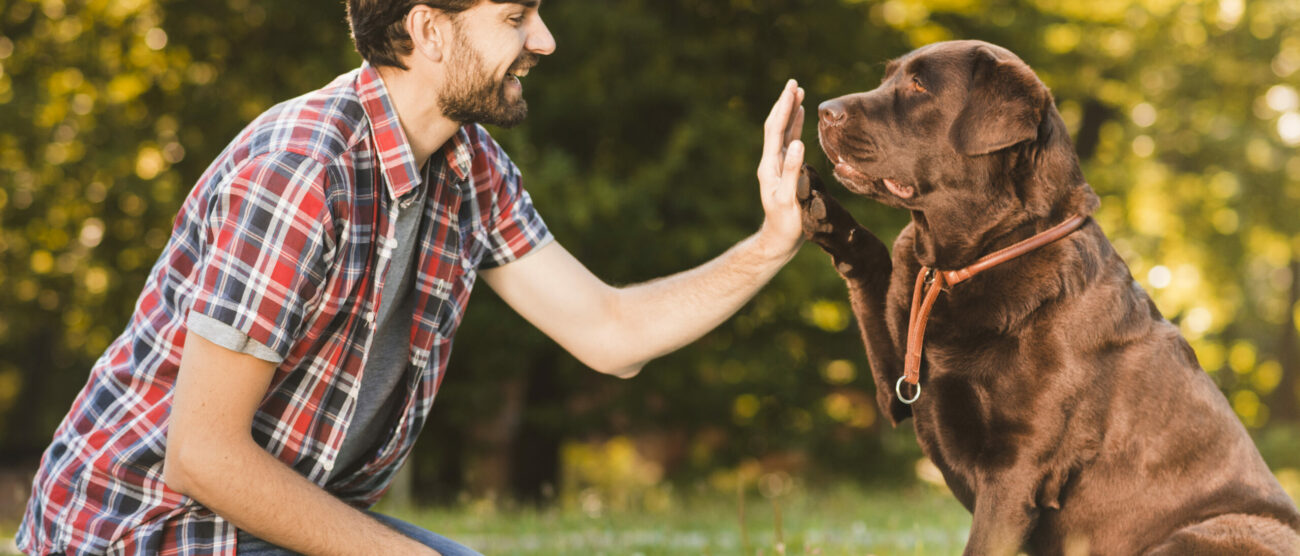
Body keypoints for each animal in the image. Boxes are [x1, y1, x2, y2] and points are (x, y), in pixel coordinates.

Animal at [800, 40, 1300, 556]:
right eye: (888, 78)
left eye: (920, 86)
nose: (823, 110)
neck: (972, 259)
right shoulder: (899, 388)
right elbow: (875, 266)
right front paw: (826, 212)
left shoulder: (1016, 468)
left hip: (1202, 533)